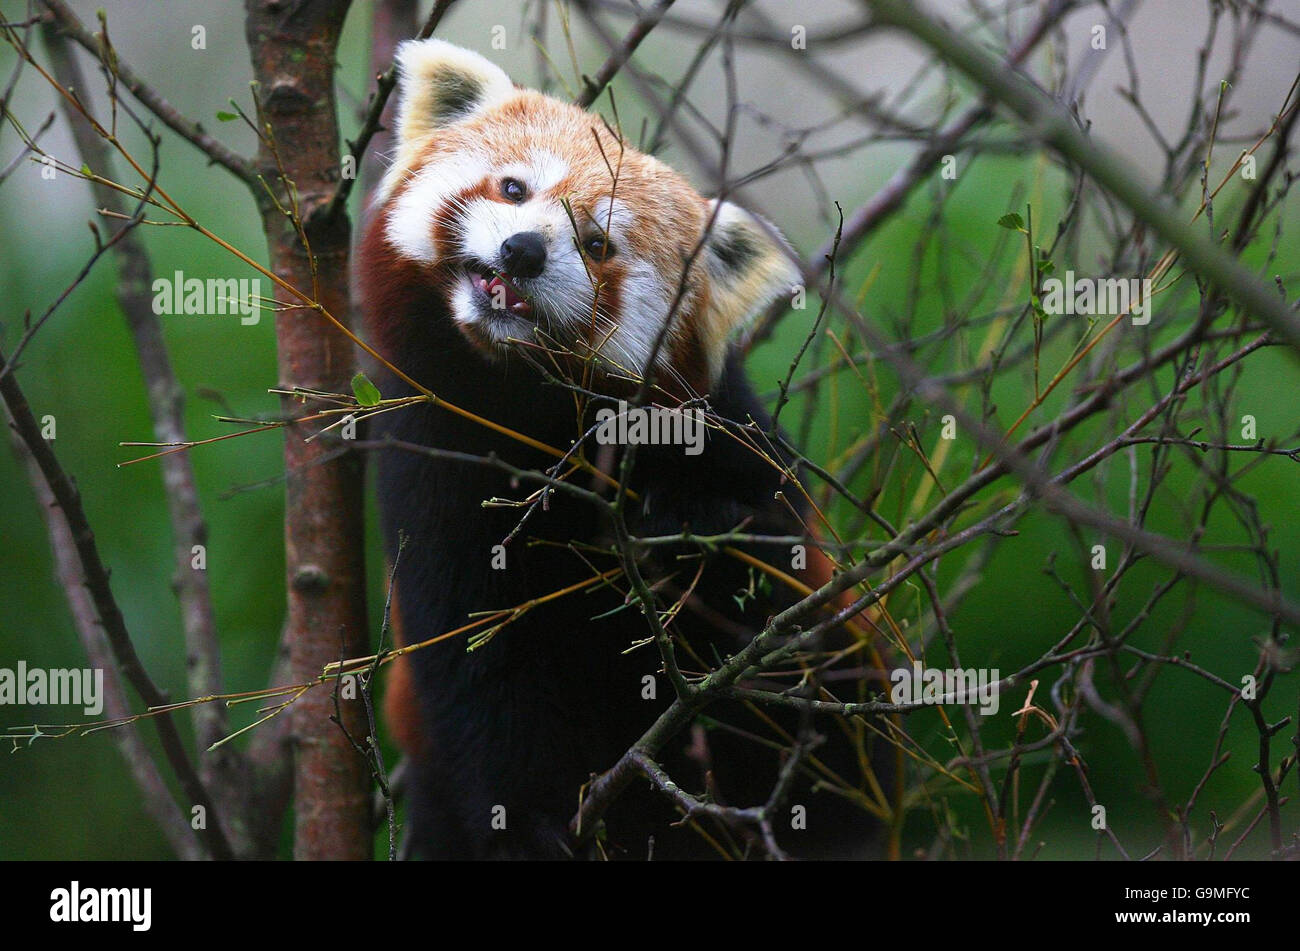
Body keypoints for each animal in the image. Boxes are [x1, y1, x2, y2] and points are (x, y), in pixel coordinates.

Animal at [356, 38, 889, 862]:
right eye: (513, 187)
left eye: (596, 242)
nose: (523, 250)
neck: (524, 402)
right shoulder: (431, 472)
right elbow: (475, 663)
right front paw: (523, 828)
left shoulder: (729, 437)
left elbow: (776, 597)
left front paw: (685, 524)